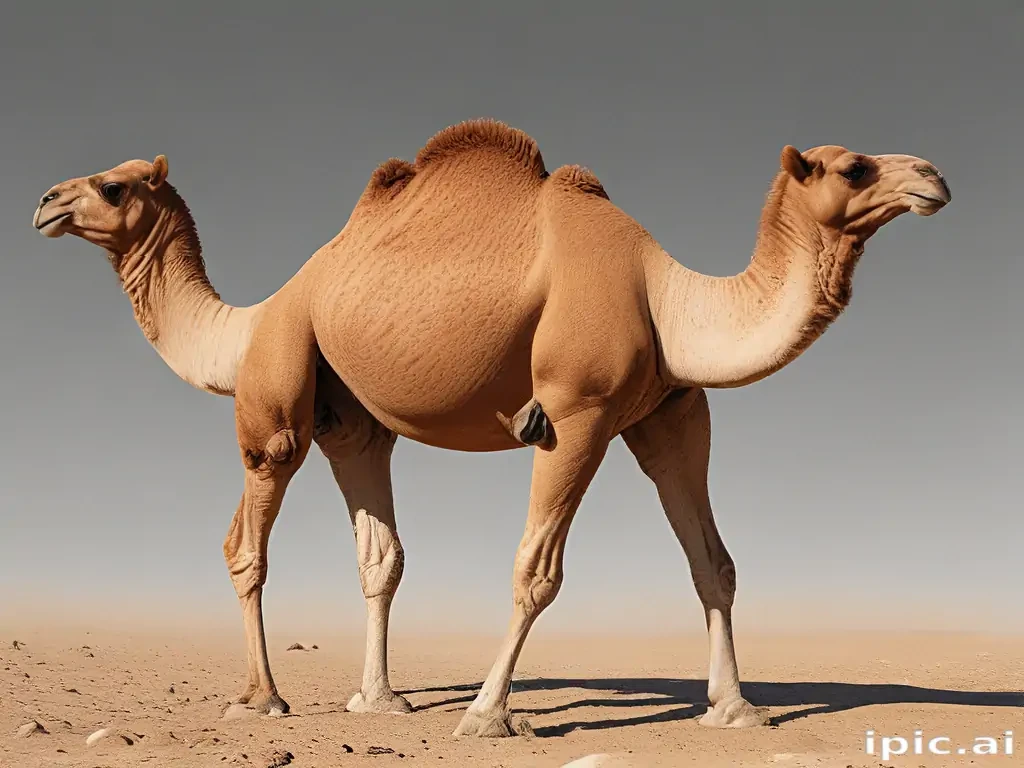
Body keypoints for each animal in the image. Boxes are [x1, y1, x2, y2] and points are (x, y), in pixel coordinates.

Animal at [33, 119, 950, 737]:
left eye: (112, 186)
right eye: (855, 164)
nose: (933, 174)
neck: (663, 294)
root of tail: (269, 305)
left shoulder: (671, 416)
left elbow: (714, 565)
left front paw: (735, 708)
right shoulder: (576, 411)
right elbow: (535, 571)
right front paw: (484, 714)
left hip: (350, 422)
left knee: (377, 552)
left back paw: (378, 700)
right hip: (279, 387)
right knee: (246, 539)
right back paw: (264, 698)